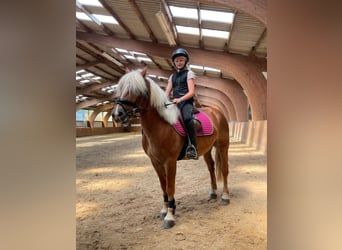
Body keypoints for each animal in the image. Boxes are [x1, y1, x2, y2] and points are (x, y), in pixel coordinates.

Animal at [112, 68, 230, 229]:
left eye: (136, 90)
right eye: (121, 88)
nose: (117, 114)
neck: (161, 126)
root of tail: (217, 112)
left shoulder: (170, 161)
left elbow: (170, 186)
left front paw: (170, 216)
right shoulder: (155, 162)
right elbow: (163, 186)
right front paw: (165, 209)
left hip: (223, 146)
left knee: (224, 170)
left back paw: (225, 196)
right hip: (207, 149)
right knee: (211, 167)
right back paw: (213, 193)